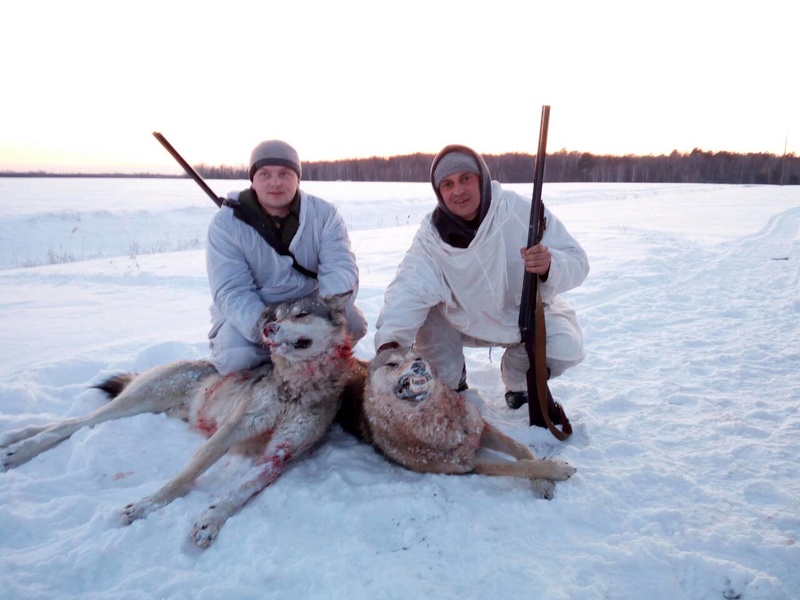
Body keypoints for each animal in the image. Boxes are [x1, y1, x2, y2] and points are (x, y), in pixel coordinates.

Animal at [0, 290, 360, 548]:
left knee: (67, 424)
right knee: (71, 424)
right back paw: (17, 450)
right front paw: (146, 505)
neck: (296, 387)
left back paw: (11, 441)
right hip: (135, 403)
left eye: (302, 314)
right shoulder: (233, 429)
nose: (267, 328)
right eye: (277, 317)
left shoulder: (280, 453)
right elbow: (183, 477)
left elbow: (240, 490)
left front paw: (210, 520)